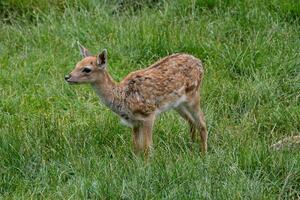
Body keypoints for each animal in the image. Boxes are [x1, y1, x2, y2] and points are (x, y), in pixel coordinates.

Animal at [64, 43, 207, 156]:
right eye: (77, 64)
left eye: (87, 69)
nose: (67, 77)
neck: (122, 97)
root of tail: (199, 62)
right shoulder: (134, 122)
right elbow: (136, 147)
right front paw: (137, 164)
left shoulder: (149, 114)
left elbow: (148, 147)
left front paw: (148, 166)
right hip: (178, 104)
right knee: (191, 121)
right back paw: (191, 145)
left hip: (194, 95)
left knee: (202, 123)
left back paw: (203, 153)